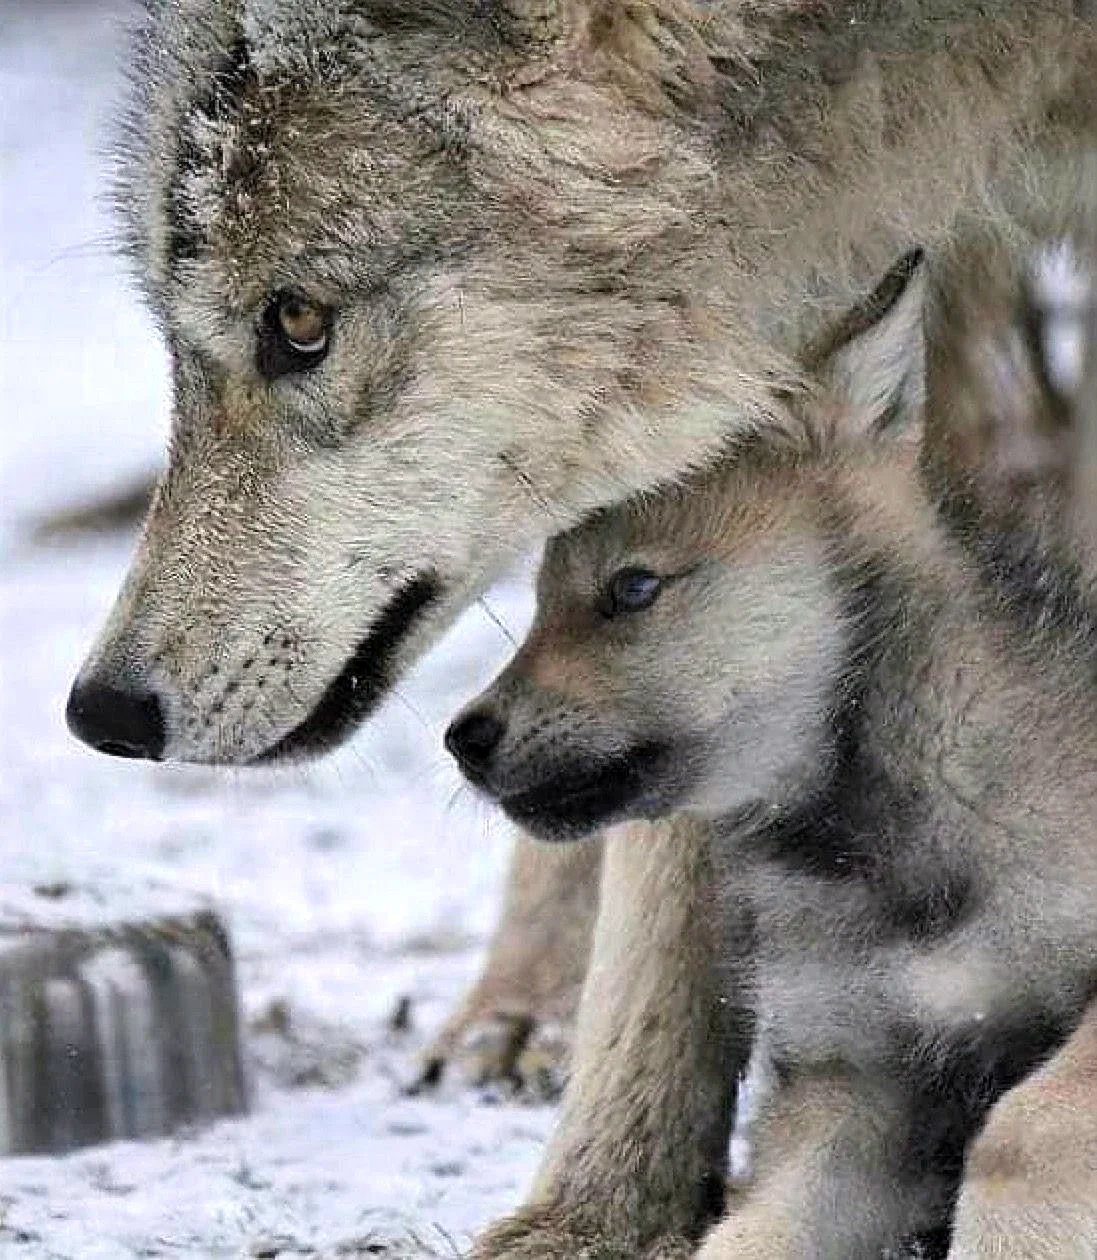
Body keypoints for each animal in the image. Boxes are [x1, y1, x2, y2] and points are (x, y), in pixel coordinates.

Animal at [449, 229, 1097, 1257]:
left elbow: (1022, 1135)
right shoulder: (858, 1091)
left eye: (633, 588)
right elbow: (742, 1237)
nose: (462, 738)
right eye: (542, 596)